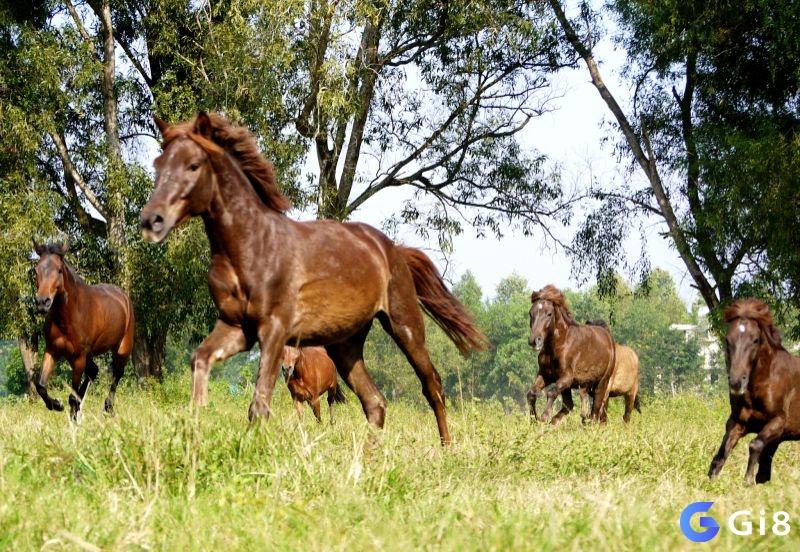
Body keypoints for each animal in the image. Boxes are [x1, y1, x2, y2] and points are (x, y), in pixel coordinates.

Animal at [33, 244, 134, 420]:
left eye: (59, 270)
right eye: (36, 269)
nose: (42, 302)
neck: (70, 315)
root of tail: (123, 297)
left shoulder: (79, 357)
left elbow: (72, 396)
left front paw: (72, 415)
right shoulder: (52, 350)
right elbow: (41, 386)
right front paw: (57, 405)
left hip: (122, 349)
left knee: (117, 374)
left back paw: (108, 407)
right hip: (87, 355)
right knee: (94, 371)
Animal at [139, 112, 488, 444]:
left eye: (193, 165)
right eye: (158, 164)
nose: (151, 220)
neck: (250, 246)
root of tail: (395, 250)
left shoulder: (275, 330)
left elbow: (259, 404)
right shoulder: (236, 327)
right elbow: (200, 361)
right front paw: (192, 439)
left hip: (405, 326)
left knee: (432, 386)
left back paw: (446, 449)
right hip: (345, 346)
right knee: (375, 402)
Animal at [528, 286, 616, 424]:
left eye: (549, 314)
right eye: (531, 313)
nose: (534, 341)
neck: (558, 344)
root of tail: (608, 336)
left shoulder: (567, 377)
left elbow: (551, 393)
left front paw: (543, 417)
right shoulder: (545, 375)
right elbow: (531, 393)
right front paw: (533, 419)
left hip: (602, 383)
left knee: (595, 411)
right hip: (582, 385)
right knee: (571, 406)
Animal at [708, 300, 800, 486]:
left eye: (755, 340)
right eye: (727, 339)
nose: (736, 382)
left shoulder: (778, 422)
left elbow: (755, 444)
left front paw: (748, 481)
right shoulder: (738, 422)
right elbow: (721, 455)